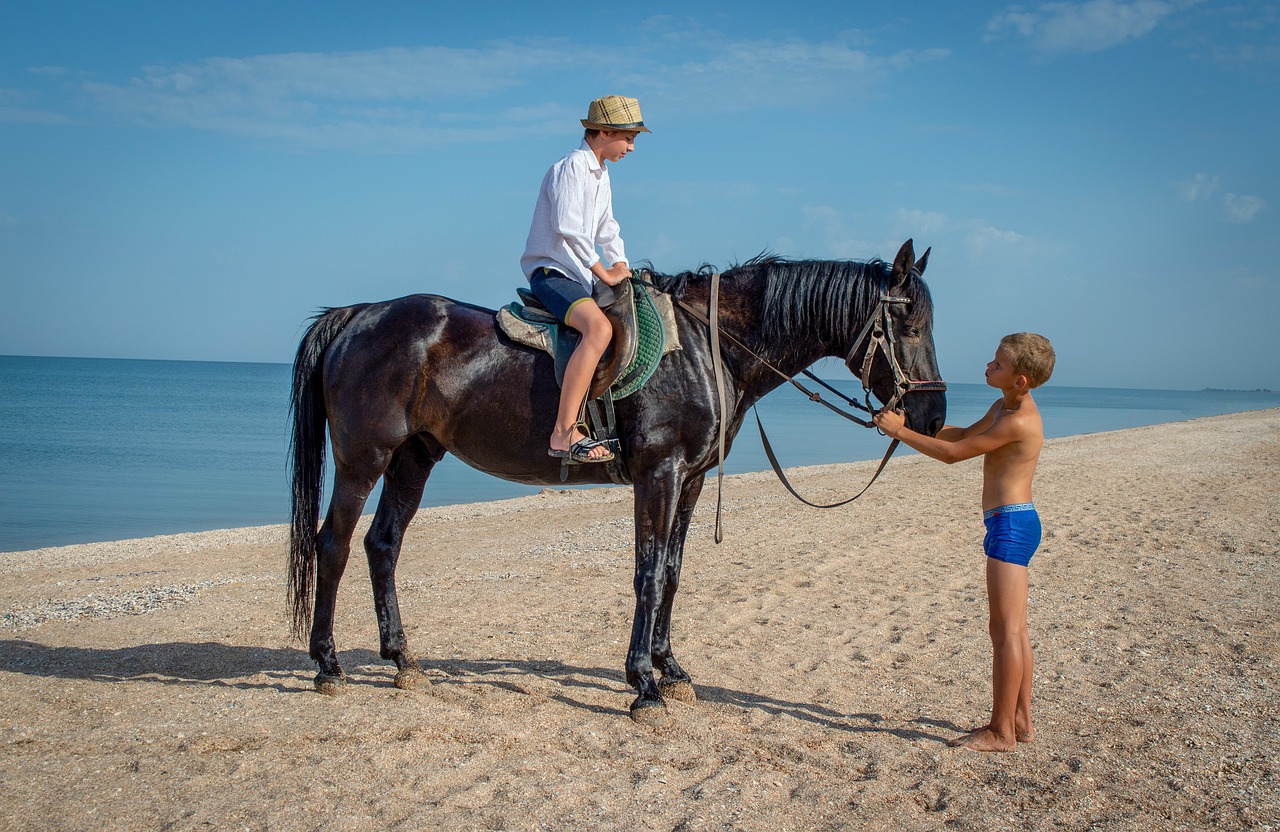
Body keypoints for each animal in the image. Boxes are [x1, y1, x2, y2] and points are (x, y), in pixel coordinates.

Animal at [293, 236, 952, 716]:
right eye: (911, 327)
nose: (934, 417)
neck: (707, 345)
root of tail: (359, 316)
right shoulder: (658, 474)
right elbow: (648, 574)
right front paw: (643, 684)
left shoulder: (689, 479)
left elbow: (673, 574)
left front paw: (671, 668)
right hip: (364, 460)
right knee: (335, 544)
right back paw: (327, 664)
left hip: (414, 458)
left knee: (383, 545)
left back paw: (402, 660)